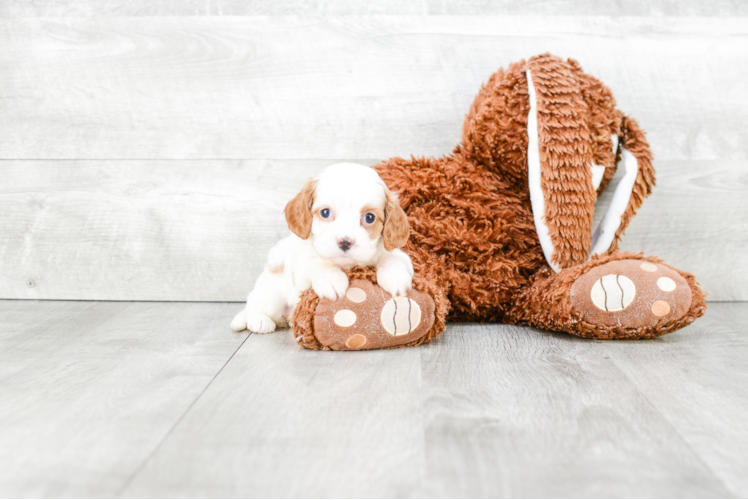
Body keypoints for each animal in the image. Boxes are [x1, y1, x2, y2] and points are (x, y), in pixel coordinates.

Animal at [229, 164, 414, 334]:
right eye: (325, 213)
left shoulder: (397, 253)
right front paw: (331, 278)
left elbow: (393, 258)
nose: (345, 242)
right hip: (271, 292)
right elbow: (315, 262)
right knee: (254, 307)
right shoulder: (301, 265)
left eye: (369, 217)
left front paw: (395, 277)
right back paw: (260, 321)